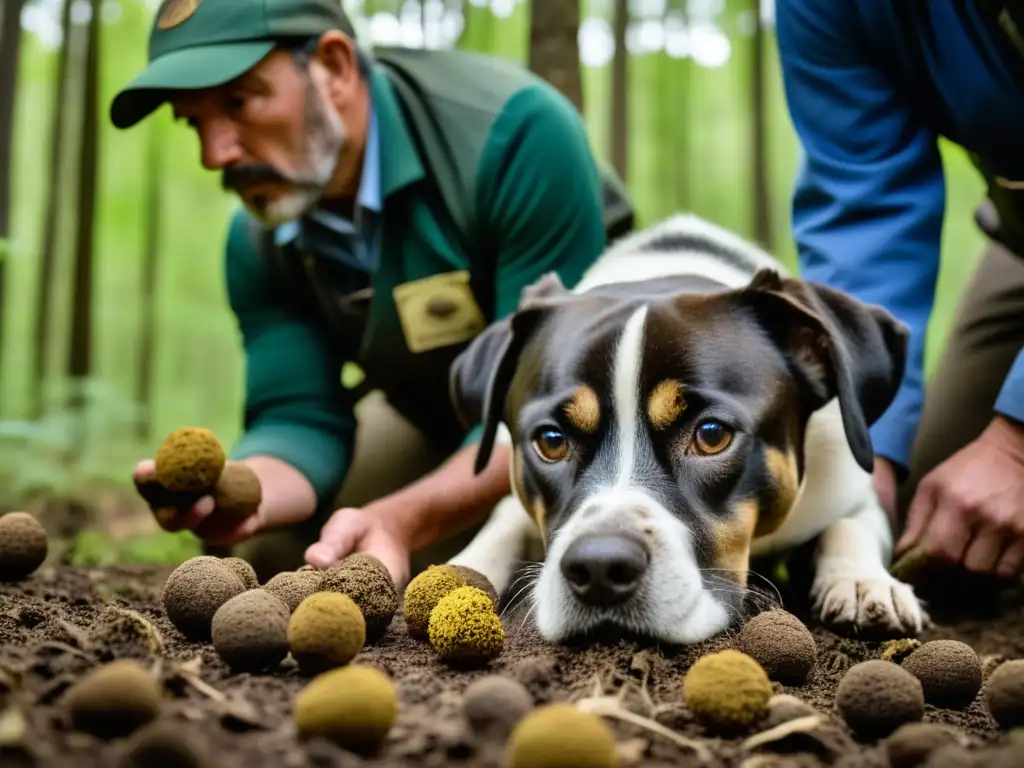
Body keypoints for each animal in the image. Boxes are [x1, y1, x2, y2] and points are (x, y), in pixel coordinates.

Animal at [444, 214, 925, 647]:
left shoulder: (846, 484)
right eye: (550, 441)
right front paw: (461, 568)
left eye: (712, 434)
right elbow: (502, 520)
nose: (599, 567)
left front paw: (864, 581)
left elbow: (852, 524)